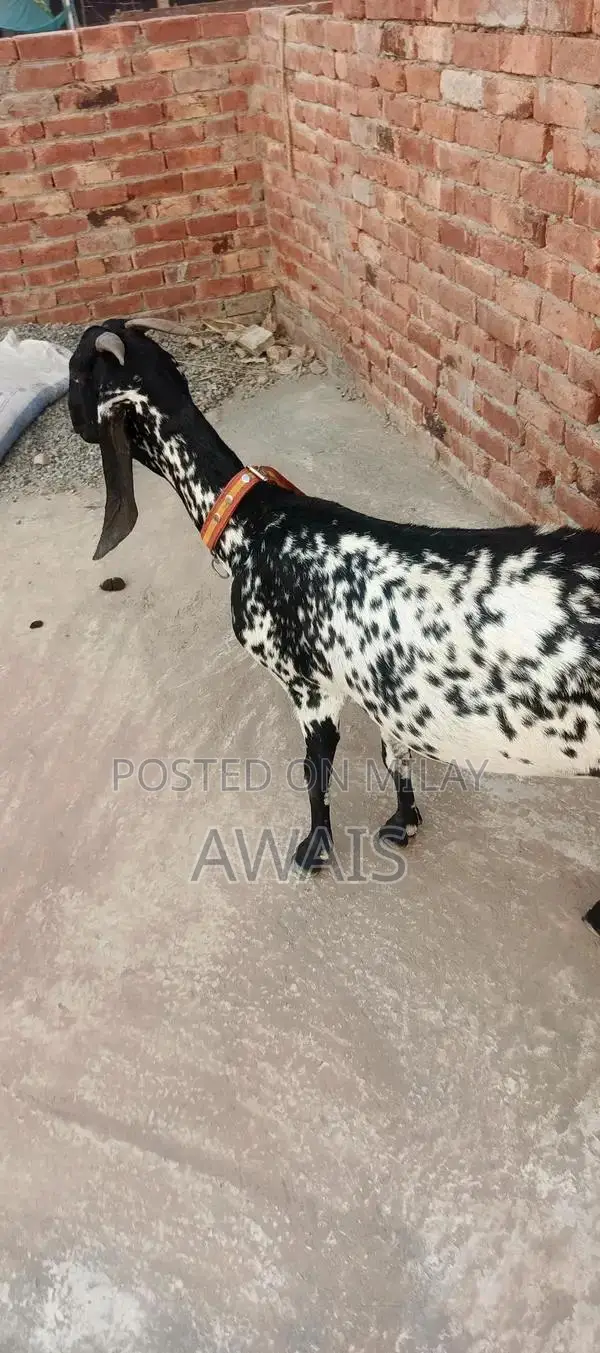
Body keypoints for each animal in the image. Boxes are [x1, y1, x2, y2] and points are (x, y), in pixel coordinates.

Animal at [69, 320, 600, 913]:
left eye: (75, 374)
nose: (72, 421)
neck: (256, 527)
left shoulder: (308, 684)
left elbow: (315, 769)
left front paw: (314, 849)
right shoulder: (387, 695)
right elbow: (395, 756)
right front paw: (404, 822)